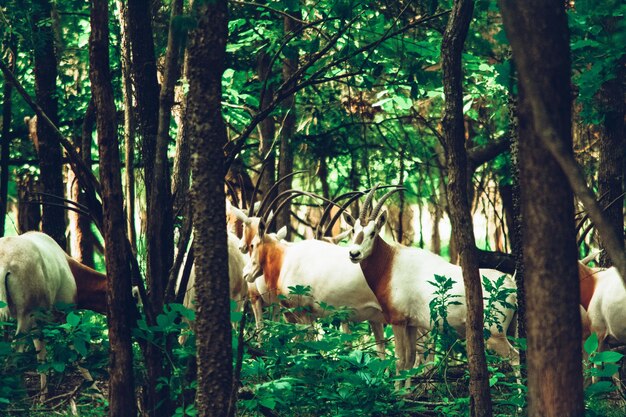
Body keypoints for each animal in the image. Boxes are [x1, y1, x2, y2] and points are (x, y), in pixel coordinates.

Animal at [0, 232, 106, 398]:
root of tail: (4, 264)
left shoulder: (37, 322)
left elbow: (41, 355)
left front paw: (43, 395)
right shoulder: (65, 312)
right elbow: (75, 348)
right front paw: (95, 390)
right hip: (26, 313)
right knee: (15, 356)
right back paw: (21, 395)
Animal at [346, 186, 516, 386]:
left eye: (372, 232)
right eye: (354, 229)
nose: (354, 253)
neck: (391, 264)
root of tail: (510, 283)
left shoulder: (398, 321)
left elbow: (400, 359)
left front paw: (396, 390)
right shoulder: (411, 324)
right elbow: (411, 359)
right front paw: (406, 390)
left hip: (494, 333)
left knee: (514, 357)